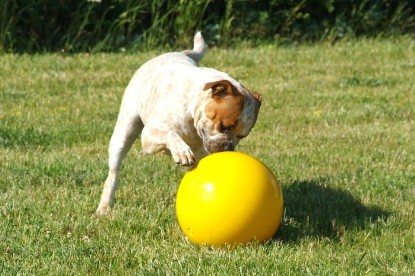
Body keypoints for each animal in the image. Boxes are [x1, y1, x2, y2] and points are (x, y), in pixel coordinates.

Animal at [96, 31, 262, 215]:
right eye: (224, 127)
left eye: (242, 136)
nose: (228, 147)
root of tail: (179, 53)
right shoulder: (149, 136)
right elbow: (170, 134)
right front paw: (182, 151)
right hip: (124, 131)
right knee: (113, 172)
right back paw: (103, 208)